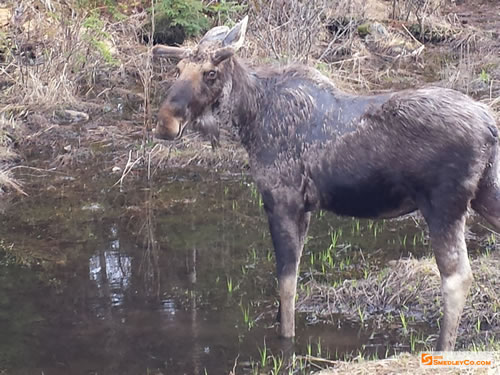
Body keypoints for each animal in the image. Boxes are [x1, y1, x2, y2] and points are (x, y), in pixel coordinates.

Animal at [152, 16, 500, 352]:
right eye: (178, 69)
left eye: (210, 74)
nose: (165, 123)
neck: (250, 119)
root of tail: (490, 125)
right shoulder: (304, 209)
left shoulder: (282, 201)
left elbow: (287, 284)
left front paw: (286, 341)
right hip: (484, 194)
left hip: (443, 206)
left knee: (457, 278)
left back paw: (442, 347)